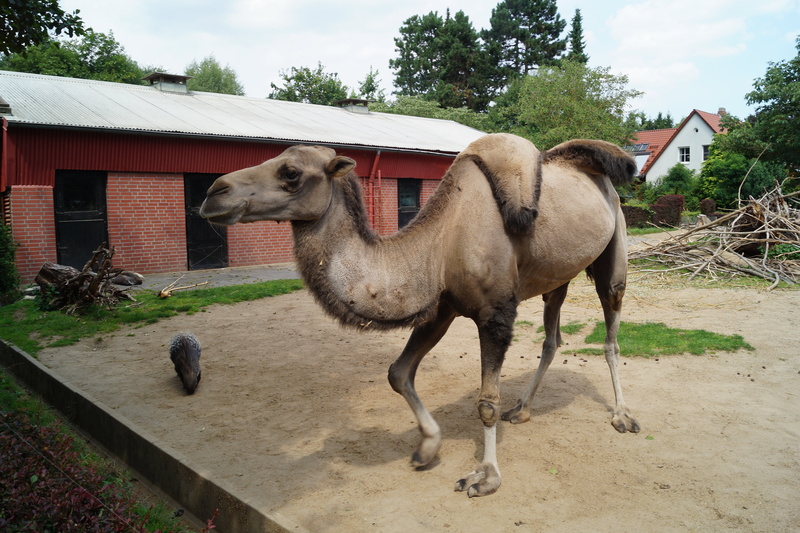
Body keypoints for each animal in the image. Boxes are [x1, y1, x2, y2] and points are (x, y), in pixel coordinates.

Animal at [199, 133, 640, 497]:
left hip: (614, 252)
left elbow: (486, 401)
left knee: (611, 335)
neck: (441, 241)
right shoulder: (440, 309)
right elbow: (398, 373)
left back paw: (622, 416)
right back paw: (523, 409)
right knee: (551, 339)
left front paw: (486, 476)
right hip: (557, 277)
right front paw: (427, 448)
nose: (213, 193)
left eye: (290, 172)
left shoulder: (495, 314)